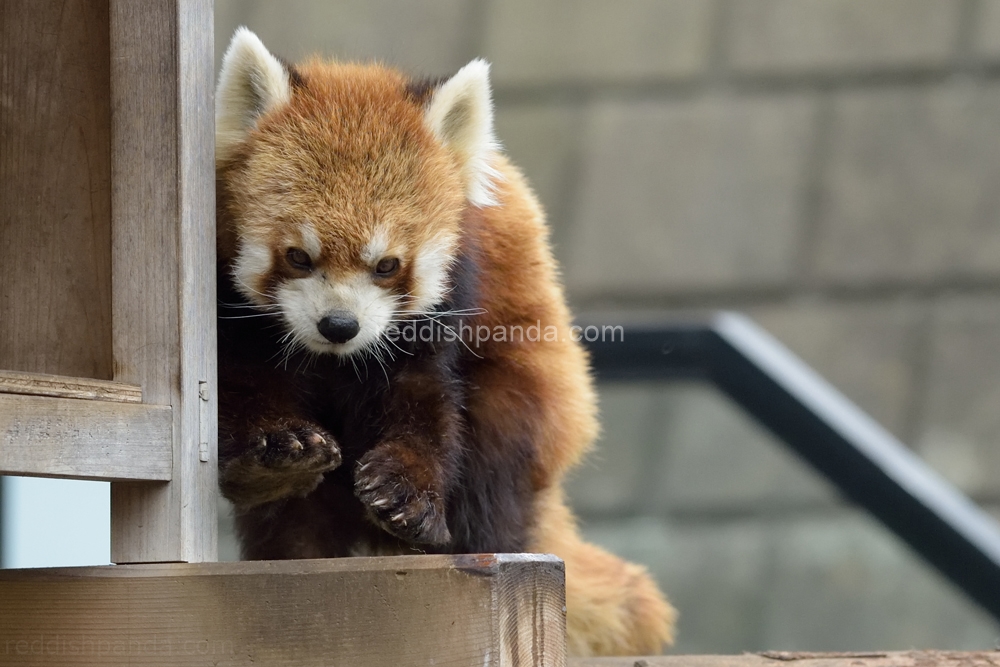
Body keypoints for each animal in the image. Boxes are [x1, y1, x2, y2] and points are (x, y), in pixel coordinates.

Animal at [215, 27, 676, 656]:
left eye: (387, 265)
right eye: (298, 256)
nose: (340, 325)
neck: (336, 360)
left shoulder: (448, 305)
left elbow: (425, 401)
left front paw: (405, 496)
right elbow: (245, 385)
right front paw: (276, 457)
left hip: (530, 400)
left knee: (492, 460)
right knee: (293, 521)